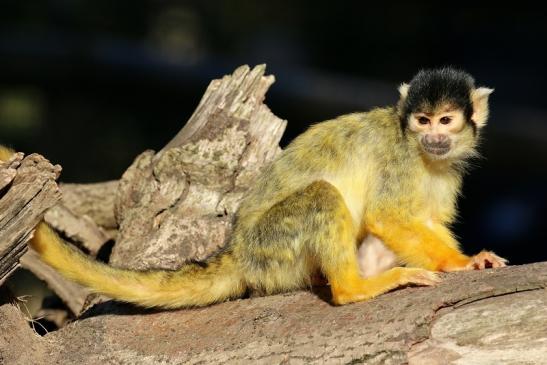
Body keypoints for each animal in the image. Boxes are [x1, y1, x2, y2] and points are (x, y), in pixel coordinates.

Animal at [2, 68, 508, 308]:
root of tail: (239, 251)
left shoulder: (446, 168)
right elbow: (388, 215)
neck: (421, 154)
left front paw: (472, 257)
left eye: (445, 121)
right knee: (322, 197)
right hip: (273, 246)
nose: (433, 137)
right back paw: (352, 289)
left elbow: (427, 218)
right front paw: (461, 264)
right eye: (421, 121)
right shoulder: (399, 158)